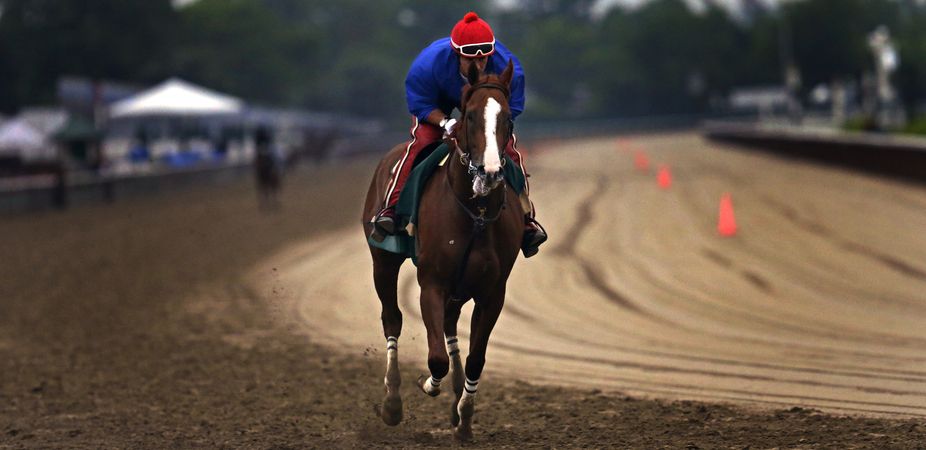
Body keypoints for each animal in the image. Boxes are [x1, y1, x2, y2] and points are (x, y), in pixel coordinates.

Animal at [360, 60, 520, 442]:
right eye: (470, 115)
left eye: (508, 117)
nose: (490, 172)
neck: (475, 211)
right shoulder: (432, 283)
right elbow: (436, 359)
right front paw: (428, 384)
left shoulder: (492, 292)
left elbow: (476, 357)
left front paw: (464, 416)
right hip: (382, 262)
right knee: (392, 318)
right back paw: (392, 402)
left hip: (461, 288)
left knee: (449, 327)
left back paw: (456, 400)